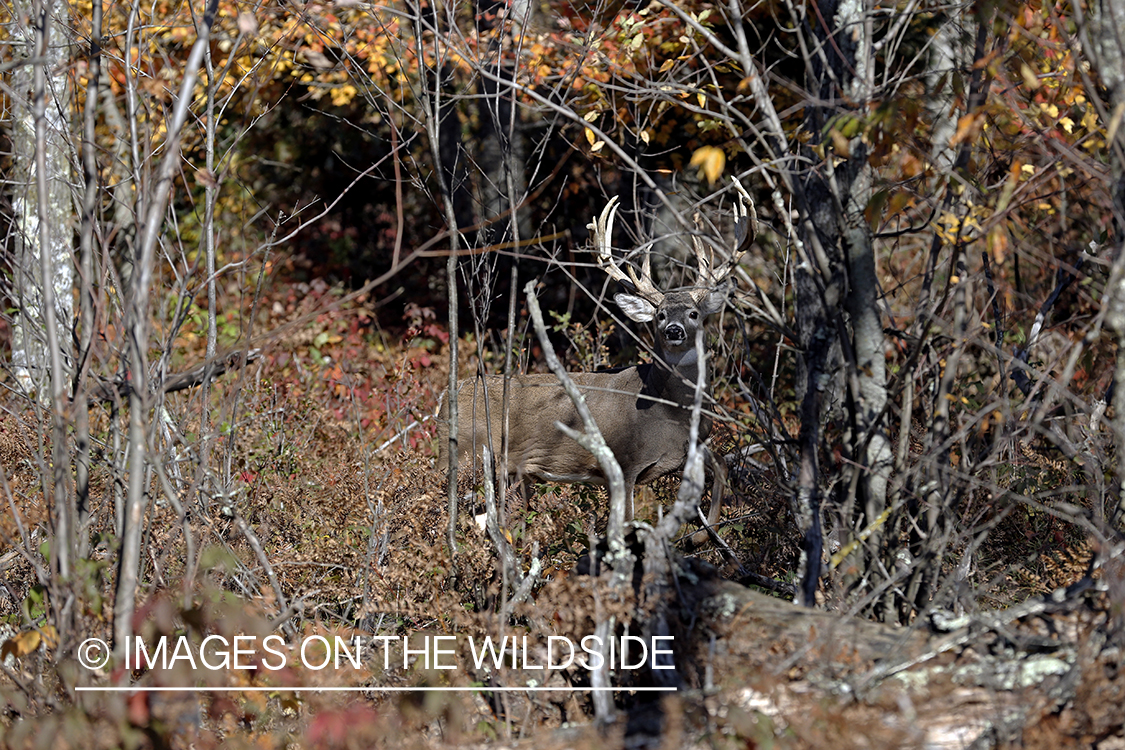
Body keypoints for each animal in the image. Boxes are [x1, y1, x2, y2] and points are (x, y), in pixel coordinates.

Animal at [438, 184, 756, 530]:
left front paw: (703, 532)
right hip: (465, 457)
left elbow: (722, 468)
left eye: (694, 313)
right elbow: (626, 522)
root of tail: (446, 395)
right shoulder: (624, 461)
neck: (671, 412)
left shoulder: (692, 449)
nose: (674, 330)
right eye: (659, 315)